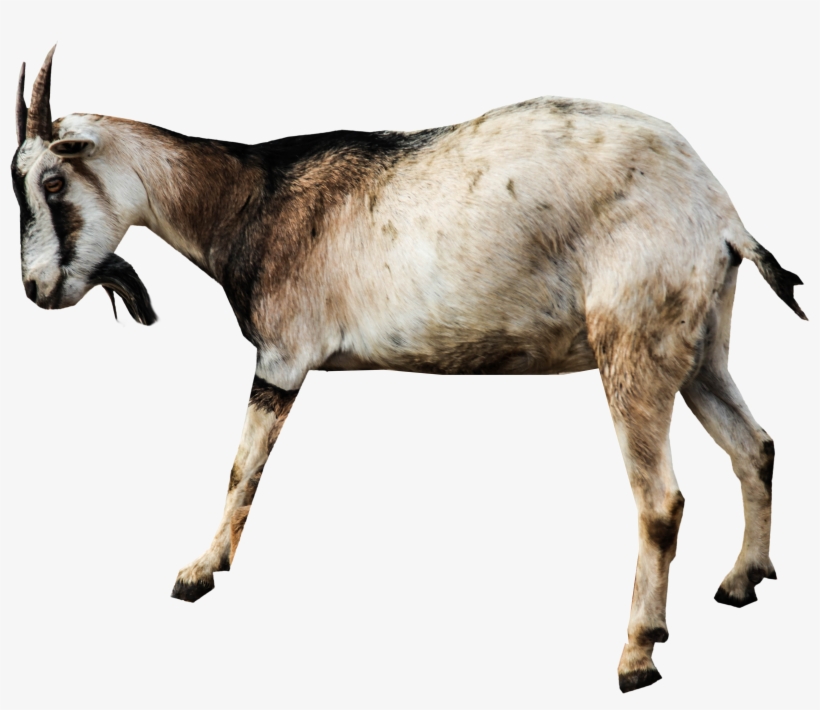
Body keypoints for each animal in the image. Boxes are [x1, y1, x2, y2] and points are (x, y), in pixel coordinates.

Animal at [11, 47, 806, 693]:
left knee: (661, 500)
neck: (252, 196)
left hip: (633, 347)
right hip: (701, 349)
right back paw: (743, 580)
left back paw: (638, 654)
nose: (37, 289)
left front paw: (199, 572)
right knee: (755, 445)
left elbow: (241, 470)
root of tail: (718, 211)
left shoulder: (282, 357)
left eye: (51, 181)